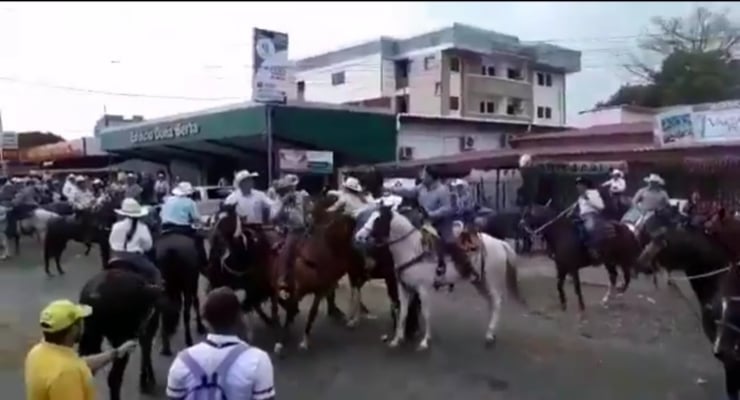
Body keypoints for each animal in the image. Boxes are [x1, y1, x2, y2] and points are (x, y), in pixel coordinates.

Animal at [78, 260, 171, 400]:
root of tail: (94, 297)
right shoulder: (147, 328)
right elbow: (146, 351)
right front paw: (147, 381)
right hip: (122, 338)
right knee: (114, 378)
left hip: (93, 337)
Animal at [356, 203, 524, 350]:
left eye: (378, 219)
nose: (359, 236)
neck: (413, 250)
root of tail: (500, 243)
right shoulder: (404, 289)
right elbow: (402, 313)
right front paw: (397, 339)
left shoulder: (423, 289)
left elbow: (426, 313)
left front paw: (425, 342)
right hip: (479, 281)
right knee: (491, 303)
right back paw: (490, 332)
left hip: (491, 280)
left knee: (496, 302)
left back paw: (489, 335)